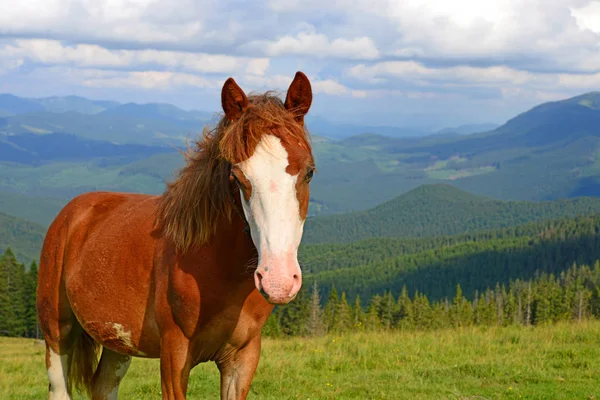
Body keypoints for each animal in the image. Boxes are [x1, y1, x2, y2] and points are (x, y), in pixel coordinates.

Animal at [36, 72, 318, 400]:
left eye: (309, 172)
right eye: (236, 177)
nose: (278, 282)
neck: (216, 267)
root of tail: (72, 213)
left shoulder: (243, 358)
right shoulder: (174, 355)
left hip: (117, 343)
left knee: (103, 385)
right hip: (57, 333)